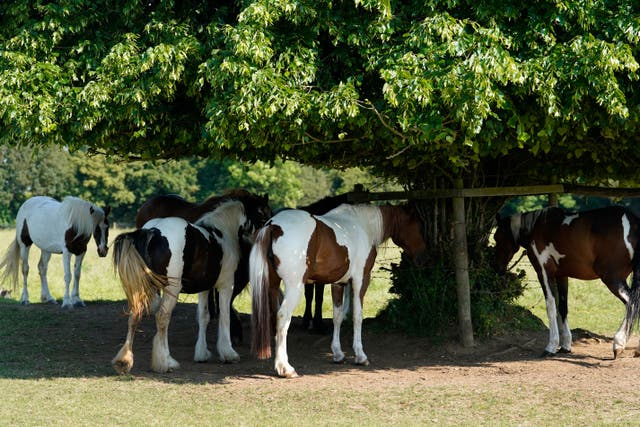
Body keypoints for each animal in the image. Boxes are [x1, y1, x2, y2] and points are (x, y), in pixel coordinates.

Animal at [492, 206, 640, 358]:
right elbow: (562, 307)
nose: (496, 266)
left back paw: (618, 344)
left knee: (632, 303)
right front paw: (565, 346)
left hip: (612, 278)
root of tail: (633, 222)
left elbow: (551, 306)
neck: (536, 227)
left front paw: (551, 346)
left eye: (497, 237)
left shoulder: (544, 273)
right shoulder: (562, 276)